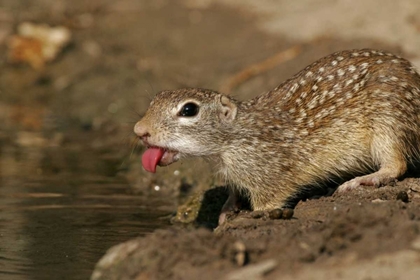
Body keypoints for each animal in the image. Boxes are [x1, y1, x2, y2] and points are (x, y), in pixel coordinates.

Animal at [134, 48, 420, 221]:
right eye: (155, 99)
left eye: (189, 110)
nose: (139, 130)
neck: (230, 142)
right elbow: (234, 191)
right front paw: (227, 210)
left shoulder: (268, 175)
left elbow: (268, 203)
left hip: (388, 122)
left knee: (396, 165)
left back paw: (363, 180)